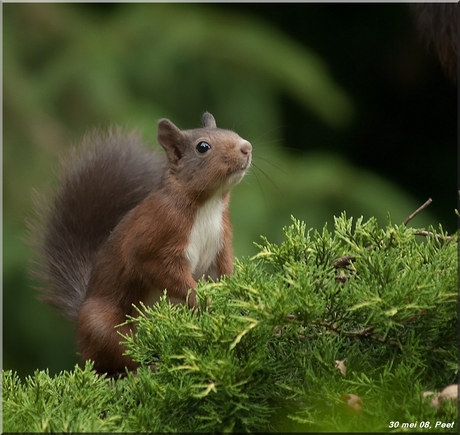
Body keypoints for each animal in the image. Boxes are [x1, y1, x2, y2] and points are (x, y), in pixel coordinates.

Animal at [30, 112, 253, 374]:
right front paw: (199, 297)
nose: (246, 147)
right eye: (203, 147)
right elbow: (162, 270)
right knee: (115, 359)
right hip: (106, 328)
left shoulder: (221, 242)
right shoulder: (154, 240)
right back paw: (142, 369)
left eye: (230, 132)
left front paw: (239, 296)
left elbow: (225, 270)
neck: (208, 204)